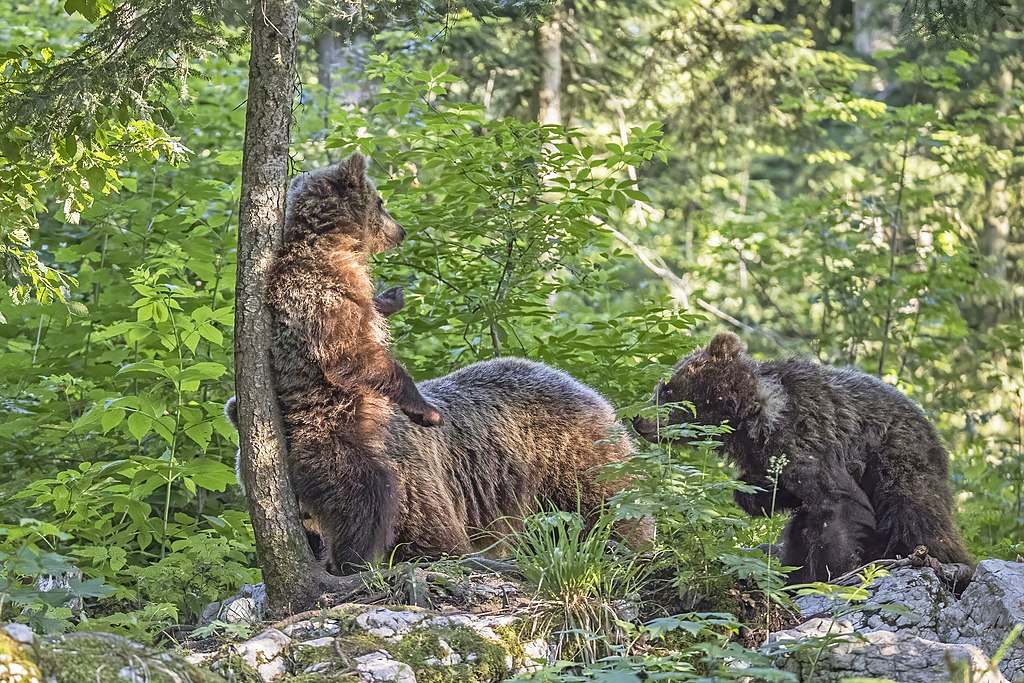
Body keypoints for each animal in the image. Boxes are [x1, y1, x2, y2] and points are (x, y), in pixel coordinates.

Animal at [630, 331, 966, 581]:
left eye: (666, 389)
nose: (637, 419)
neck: (751, 418)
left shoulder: (806, 439)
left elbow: (837, 506)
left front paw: (832, 571)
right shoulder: (766, 457)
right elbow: (783, 500)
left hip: (898, 461)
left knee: (914, 513)